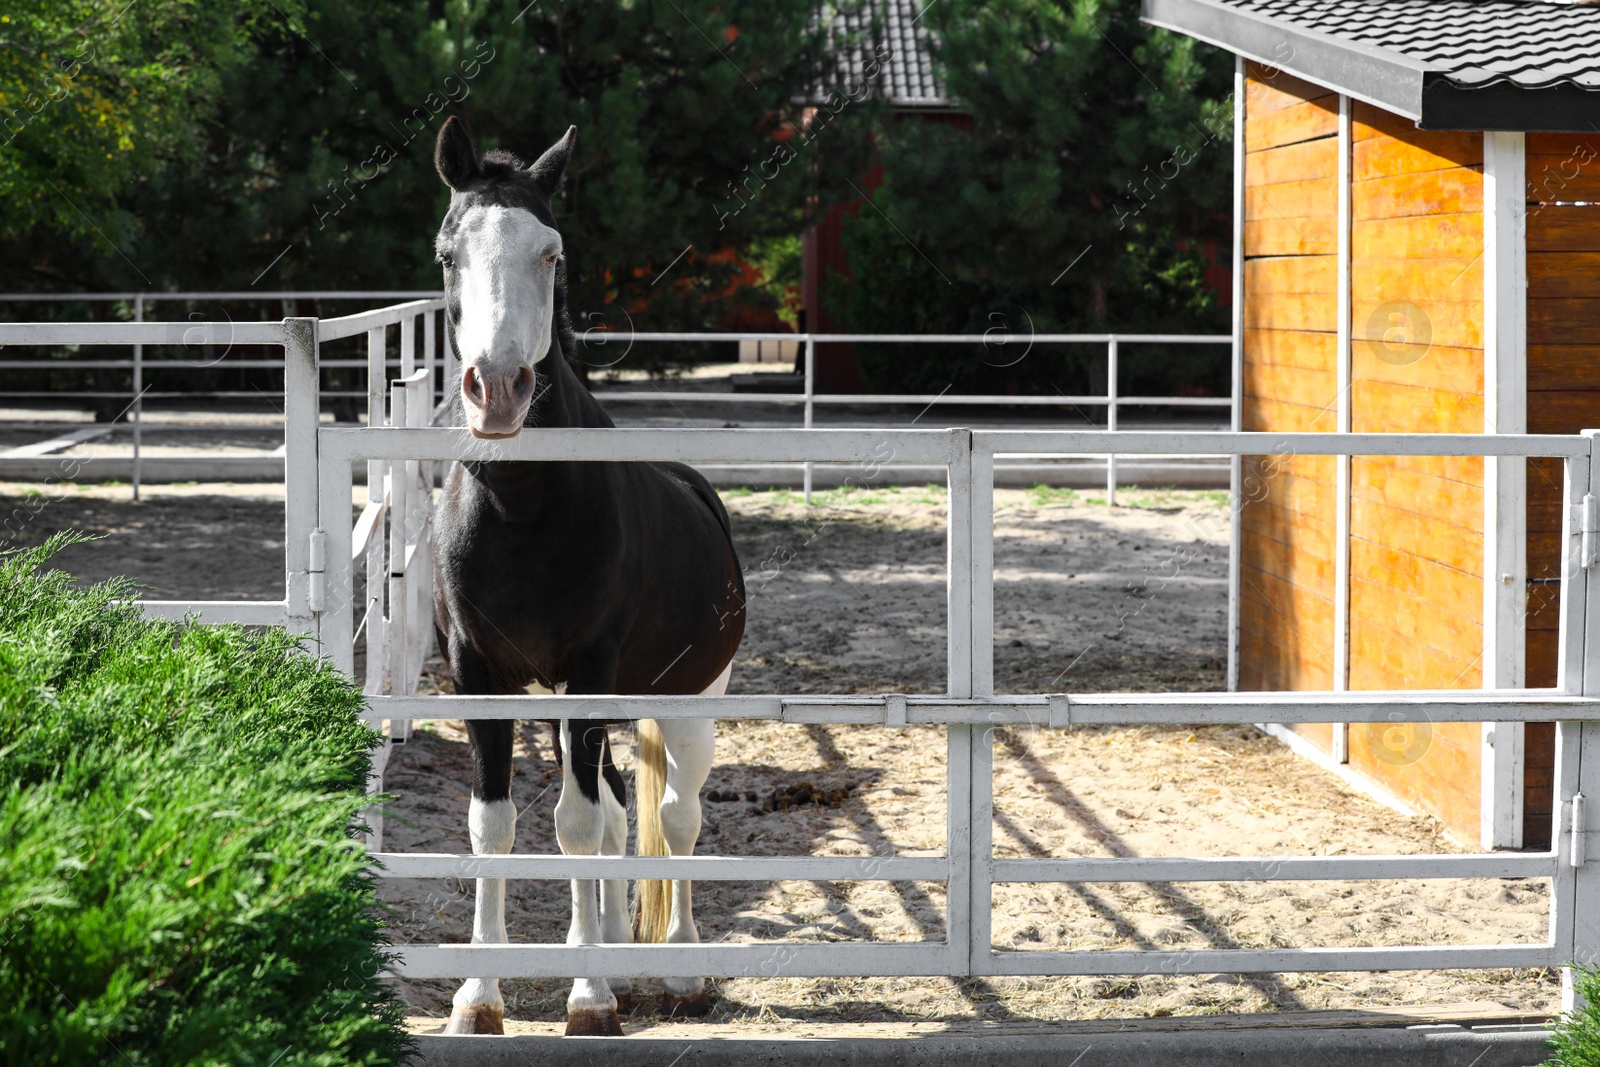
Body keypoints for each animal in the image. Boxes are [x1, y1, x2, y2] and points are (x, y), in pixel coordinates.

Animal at [428, 116, 745, 1036]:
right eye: (448, 253)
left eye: (551, 252)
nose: (497, 389)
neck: (523, 510)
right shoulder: (478, 673)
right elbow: (495, 826)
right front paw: (480, 995)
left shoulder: (591, 668)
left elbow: (573, 825)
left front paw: (590, 997)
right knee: (614, 811)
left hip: (690, 702)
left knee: (675, 815)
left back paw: (678, 970)